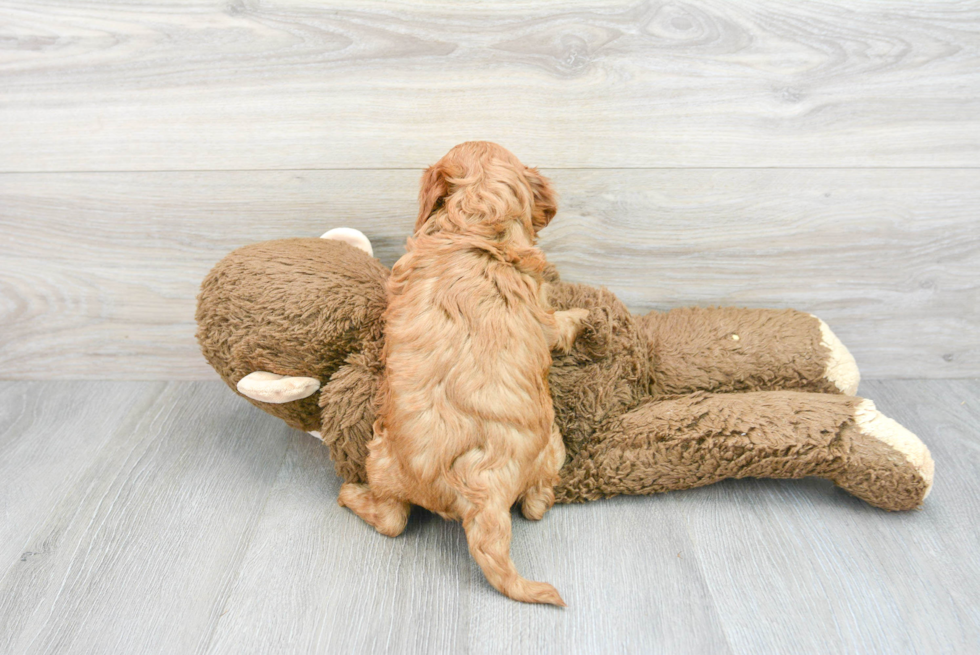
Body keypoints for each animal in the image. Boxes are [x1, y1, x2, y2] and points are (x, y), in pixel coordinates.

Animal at [340, 141, 588, 608]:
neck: (479, 219)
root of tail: (482, 487)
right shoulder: (542, 313)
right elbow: (557, 324)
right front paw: (584, 316)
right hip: (551, 444)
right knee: (534, 505)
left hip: (382, 458)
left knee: (392, 519)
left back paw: (349, 493)